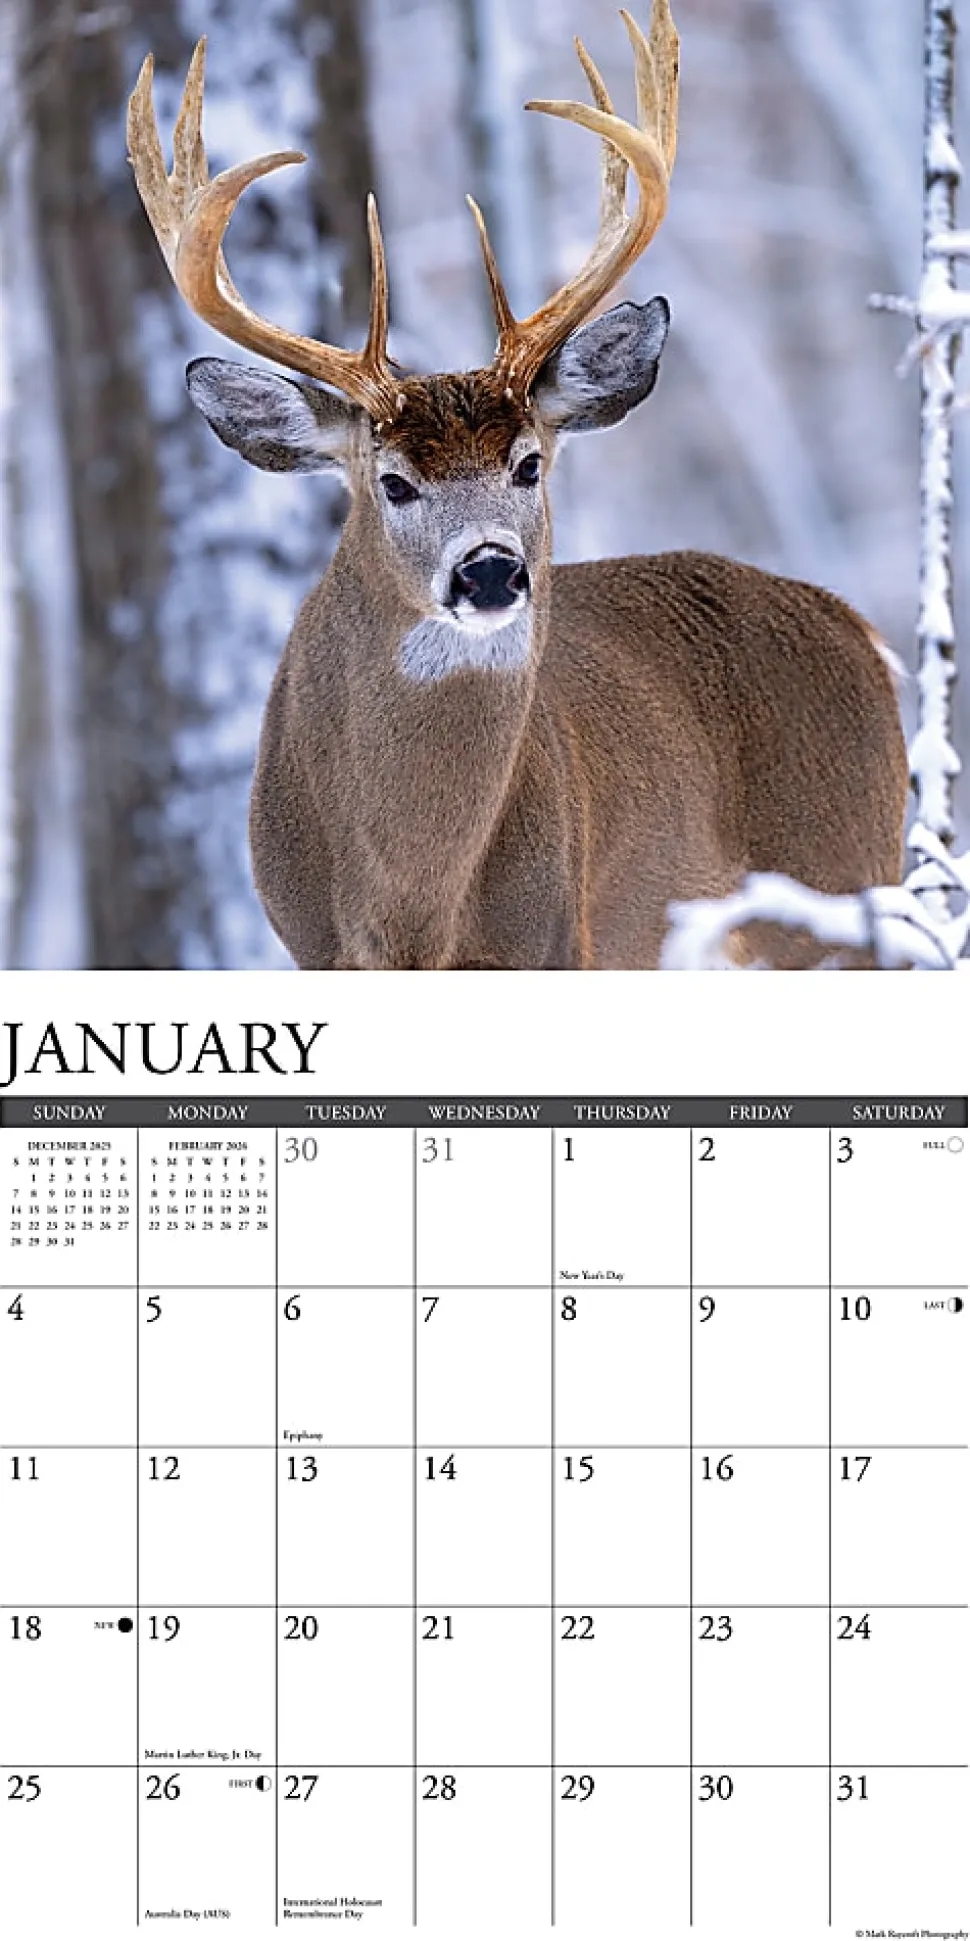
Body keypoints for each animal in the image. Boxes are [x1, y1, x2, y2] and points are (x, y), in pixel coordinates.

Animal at [128, 3, 907, 970]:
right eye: (393, 482)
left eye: (528, 463)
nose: (490, 568)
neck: (408, 912)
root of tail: (857, 629)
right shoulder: (305, 944)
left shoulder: (555, 937)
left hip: (841, 884)